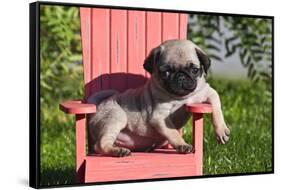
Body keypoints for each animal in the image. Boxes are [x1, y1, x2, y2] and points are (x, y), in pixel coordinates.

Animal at [88, 39, 230, 157]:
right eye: (166, 72)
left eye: (194, 70)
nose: (181, 77)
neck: (181, 98)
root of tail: (98, 106)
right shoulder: (159, 117)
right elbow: (173, 132)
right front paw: (182, 144)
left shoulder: (207, 92)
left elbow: (216, 106)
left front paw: (221, 130)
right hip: (116, 116)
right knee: (100, 145)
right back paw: (118, 151)